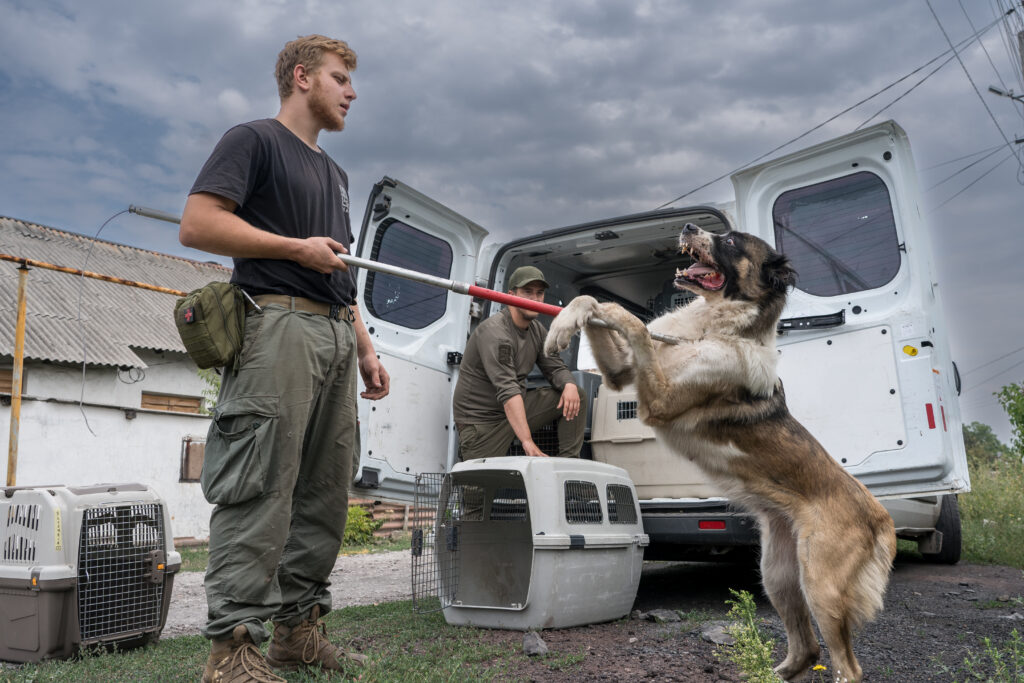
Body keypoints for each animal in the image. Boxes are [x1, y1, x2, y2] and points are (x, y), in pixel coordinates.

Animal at [544, 225, 897, 683]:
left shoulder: (659, 402)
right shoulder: (622, 373)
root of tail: (880, 516)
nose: (689, 228)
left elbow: (634, 323)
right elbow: (595, 303)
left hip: (822, 585)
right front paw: (565, 320)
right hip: (777, 574)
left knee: (846, 665)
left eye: (731, 241)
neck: (711, 328)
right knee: (807, 647)